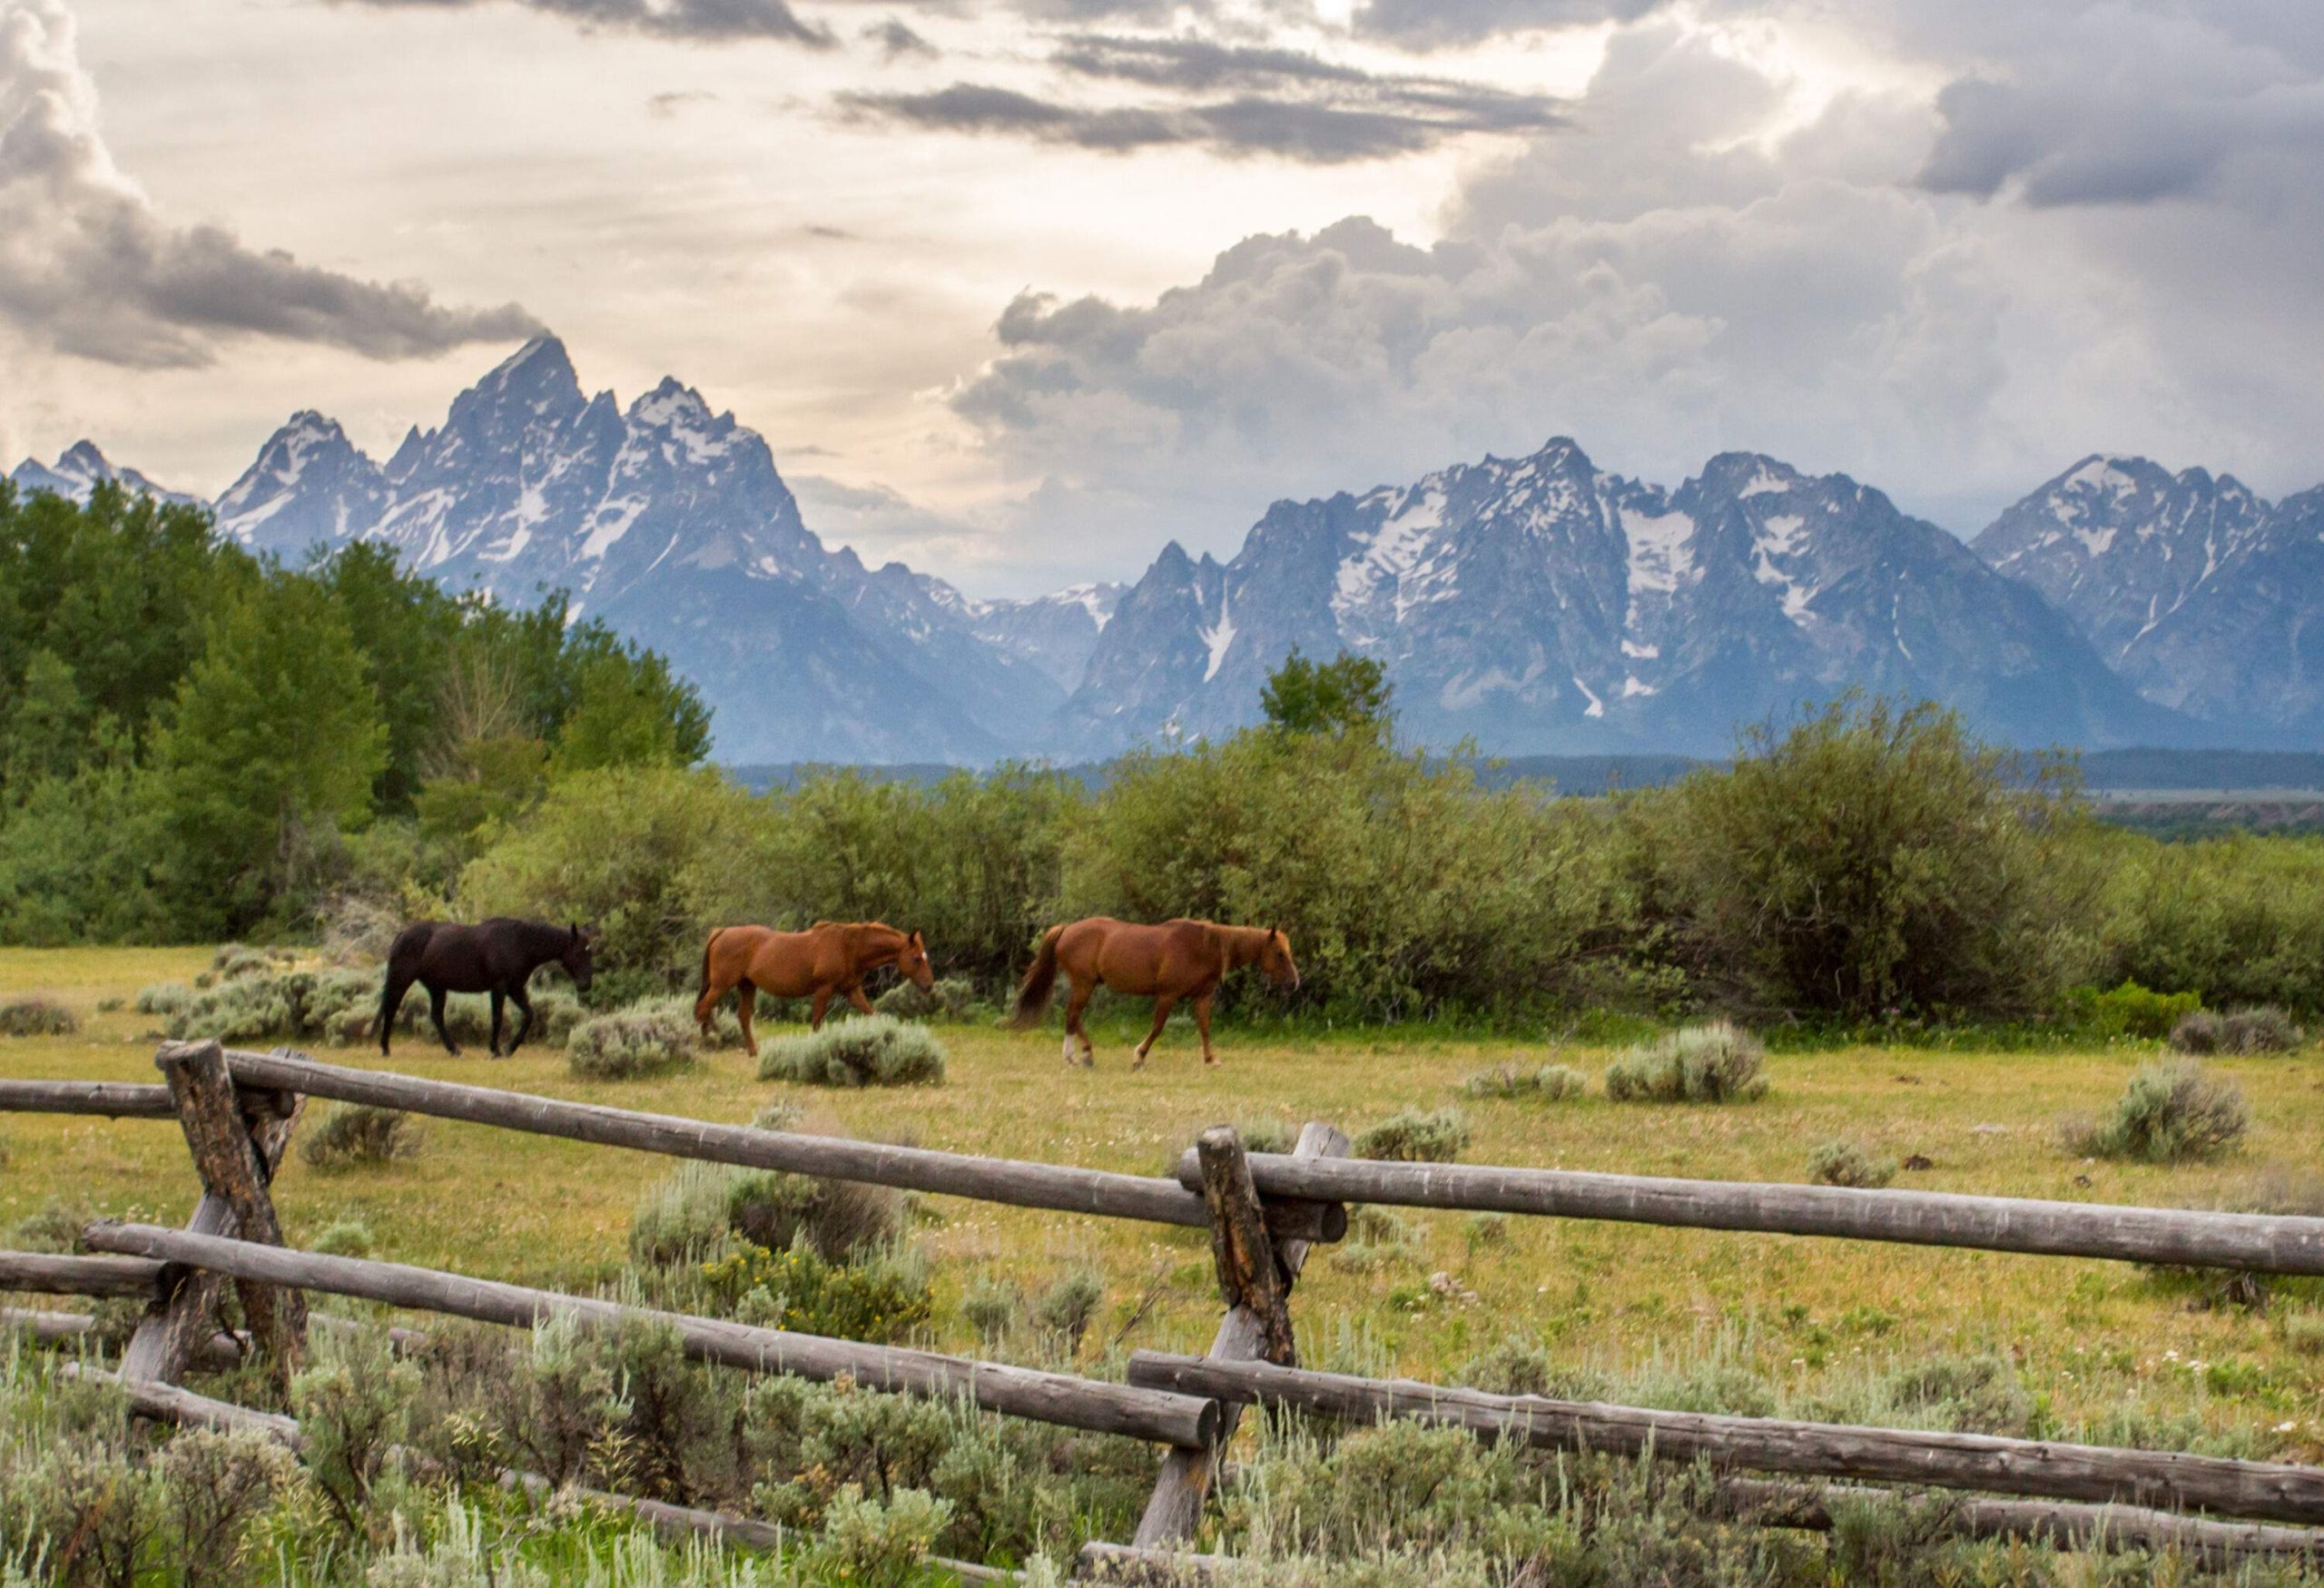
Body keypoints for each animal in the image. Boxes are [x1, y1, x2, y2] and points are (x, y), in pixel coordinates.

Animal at [374, 921, 595, 1055]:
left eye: (590, 952)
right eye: (580, 952)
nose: (586, 985)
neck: (519, 943)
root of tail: (402, 933)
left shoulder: (515, 988)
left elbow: (529, 1015)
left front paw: (510, 1048)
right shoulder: (500, 986)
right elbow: (497, 1017)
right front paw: (496, 1050)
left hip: (436, 987)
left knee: (436, 1016)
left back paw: (454, 1050)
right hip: (402, 979)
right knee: (392, 1008)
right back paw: (385, 1048)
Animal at [687, 921, 934, 1055]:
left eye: (925, 957)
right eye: (916, 959)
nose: (929, 985)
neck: (849, 946)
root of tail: (721, 931)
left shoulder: (852, 991)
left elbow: (872, 1013)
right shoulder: (824, 989)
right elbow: (816, 1022)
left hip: (746, 985)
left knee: (742, 1016)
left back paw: (752, 1051)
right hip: (721, 984)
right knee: (703, 1009)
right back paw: (709, 1039)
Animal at [1003, 921, 1292, 1069]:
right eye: (1279, 953)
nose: (1294, 981)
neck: (1202, 946)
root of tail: (1066, 928)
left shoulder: (1201, 997)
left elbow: (1205, 1028)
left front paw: (1211, 1059)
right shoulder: (1167, 995)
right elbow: (1157, 1028)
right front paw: (1139, 1056)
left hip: (1087, 984)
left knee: (1075, 1016)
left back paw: (1085, 1054)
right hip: (1084, 983)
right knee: (1073, 1015)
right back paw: (1074, 1055)